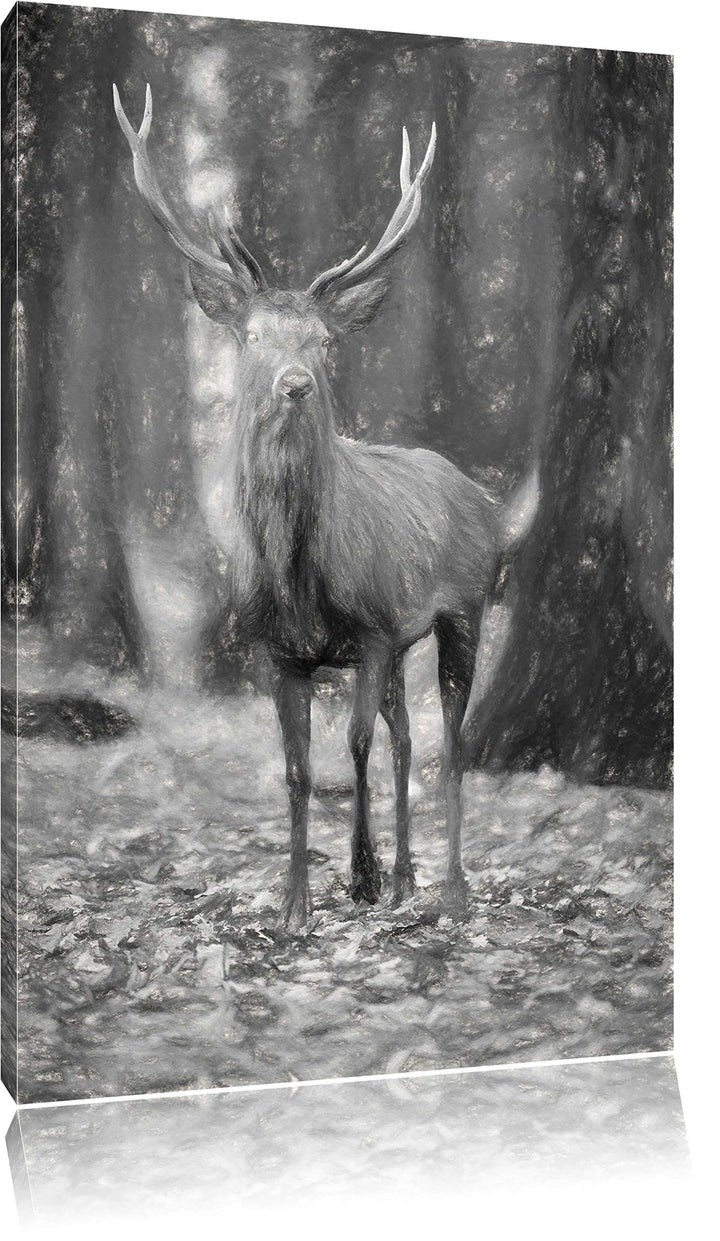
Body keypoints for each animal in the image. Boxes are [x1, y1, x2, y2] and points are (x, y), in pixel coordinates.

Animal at [114, 84, 537, 927]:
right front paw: (295, 904)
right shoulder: (281, 653)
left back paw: (450, 888)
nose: (295, 384)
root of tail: (483, 496)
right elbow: (298, 769)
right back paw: (410, 878)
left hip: (465, 607)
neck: (299, 577)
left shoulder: (370, 633)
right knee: (408, 740)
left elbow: (356, 750)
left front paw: (361, 878)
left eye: (324, 340)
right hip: (408, 639)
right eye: (249, 336)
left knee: (450, 746)